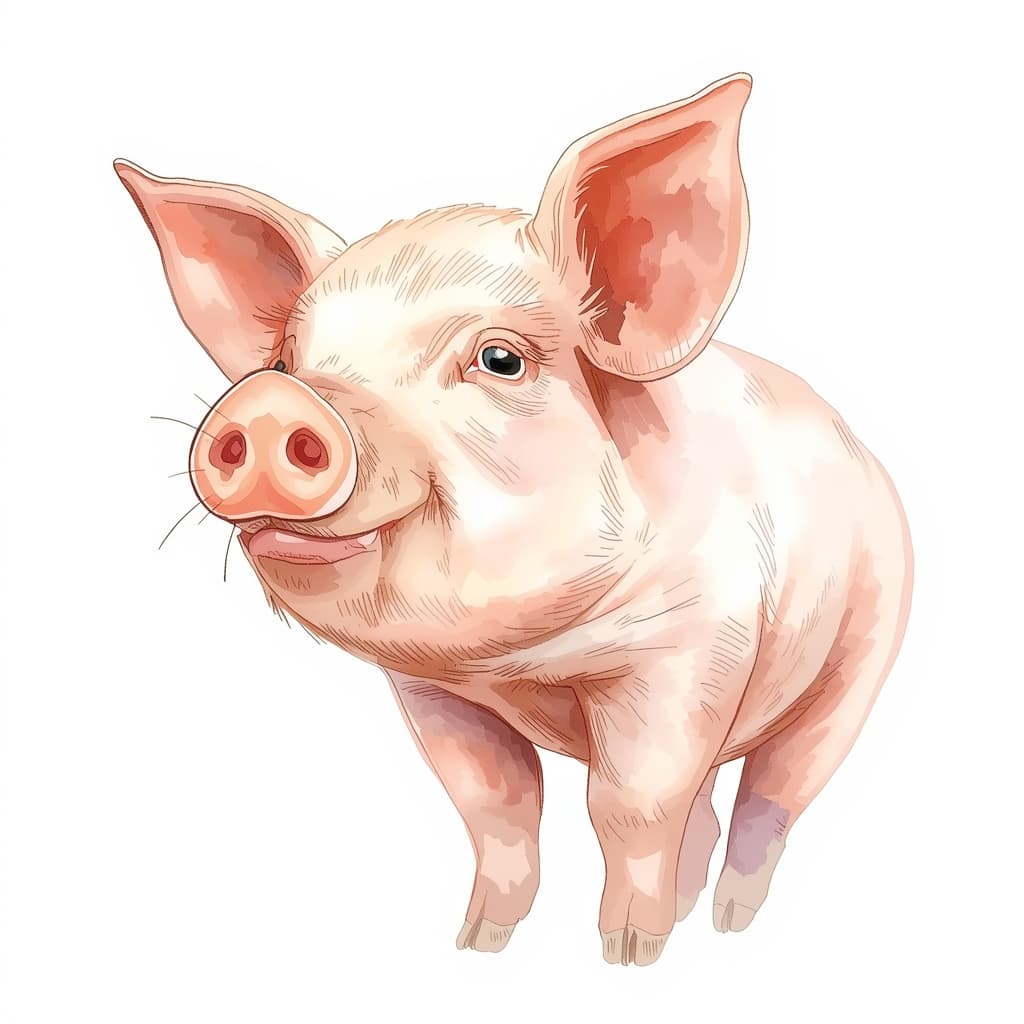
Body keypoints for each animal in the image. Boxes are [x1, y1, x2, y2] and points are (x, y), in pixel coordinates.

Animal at [115, 72, 913, 966]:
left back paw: (726, 923)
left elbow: (629, 804)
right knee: (709, 803)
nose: (269, 403)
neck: (522, 662)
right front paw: (478, 943)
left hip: (862, 655)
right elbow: (495, 804)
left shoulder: (692, 645)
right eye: (287, 360)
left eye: (500, 360)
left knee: (775, 795)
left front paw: (624, 955)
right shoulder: (432, 692)